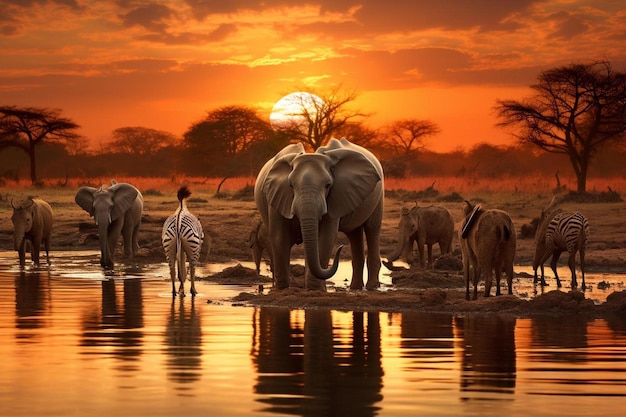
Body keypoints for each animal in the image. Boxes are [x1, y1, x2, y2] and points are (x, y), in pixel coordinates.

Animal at [252, 136, 380, 290]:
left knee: (372, 229)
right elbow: (279, 237)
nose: (340, 248)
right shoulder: (277, 195)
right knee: (354, 233)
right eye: (291, 185)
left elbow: (325, 238)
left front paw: (314, 289)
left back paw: (371, 287)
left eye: (328, 185)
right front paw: (282, 289)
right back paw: (355, 288)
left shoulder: (333, 198)